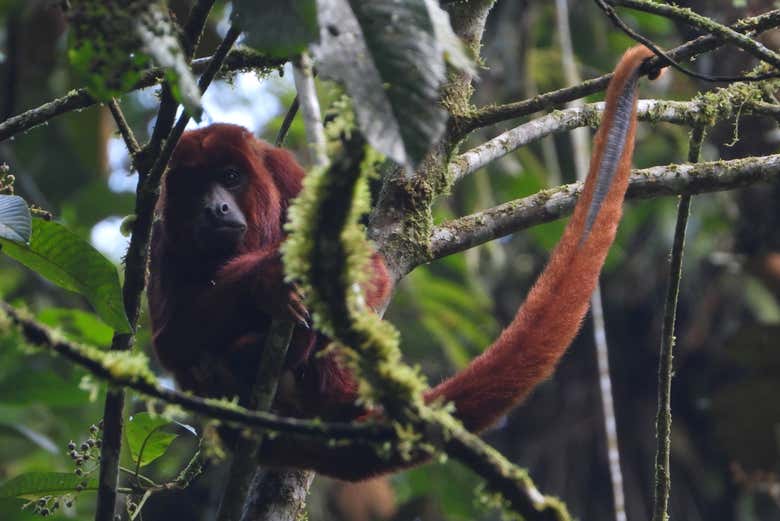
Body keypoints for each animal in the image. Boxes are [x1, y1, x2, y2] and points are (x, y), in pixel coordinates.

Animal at [148, 45, 657, 480]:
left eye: (231, 177)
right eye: (195, 189)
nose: (215, 207)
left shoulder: (285, 174)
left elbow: (367, 269)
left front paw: (278, 281)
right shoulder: (159, 234)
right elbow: (169, 338)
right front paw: (265, 280)